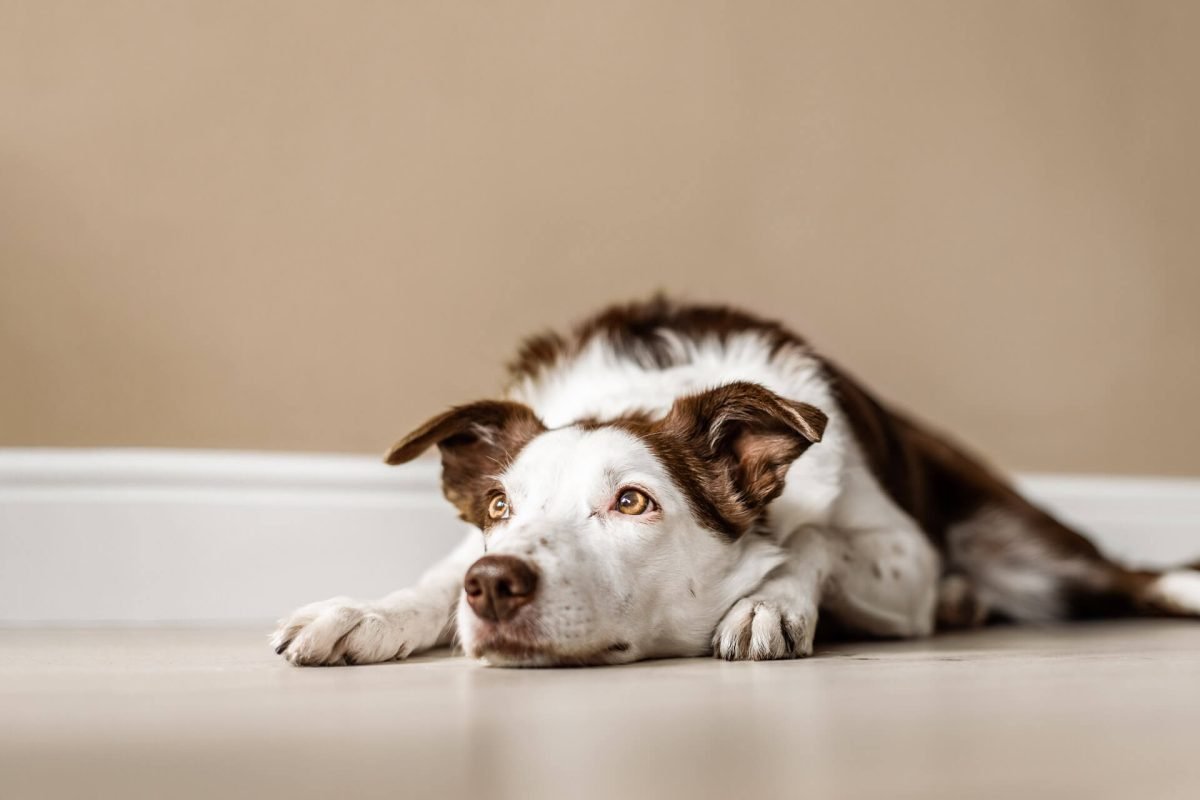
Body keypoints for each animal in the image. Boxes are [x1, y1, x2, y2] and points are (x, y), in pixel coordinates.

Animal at [272, 297, 1200, 666]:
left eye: (632, 501)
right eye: (499, 507)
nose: (495, 584)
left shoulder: (904, 555)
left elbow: (814, 533)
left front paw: (768, 602)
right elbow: (432, 580)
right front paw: (364, 614)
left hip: (1024, 542)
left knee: (1130, 575)